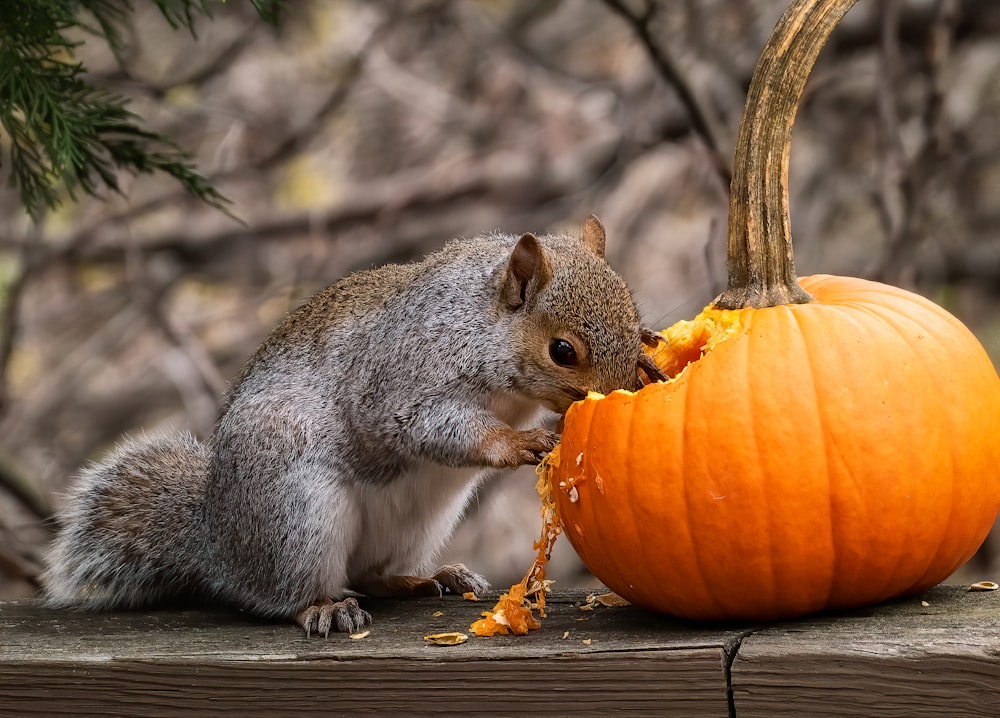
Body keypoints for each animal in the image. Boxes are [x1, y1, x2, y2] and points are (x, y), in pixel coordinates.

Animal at [43, 217, 664, 640]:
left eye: (634, 318)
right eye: (562, 351)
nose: (625, 391)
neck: (482, 324)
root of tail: (216, 542)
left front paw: (649, 357)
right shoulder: (404, 379)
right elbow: (429, 426)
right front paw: (523, 442)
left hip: (419, 522)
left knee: (369, 572)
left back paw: (425, 579)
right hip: (297, 514)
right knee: (281, 593)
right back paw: (322, 606)